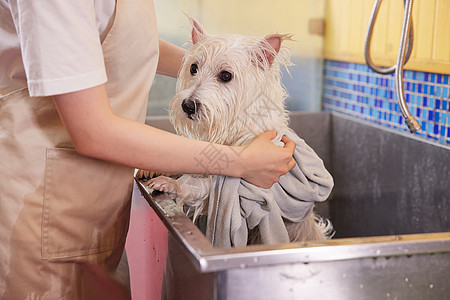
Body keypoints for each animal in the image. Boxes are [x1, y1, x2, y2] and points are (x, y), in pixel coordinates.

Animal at [146, 15, 332, 246]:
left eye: (226, 75)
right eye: (193, 68)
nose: (188, 105)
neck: (232, 130)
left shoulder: (243, 190)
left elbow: (205, 188)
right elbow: (195, 183)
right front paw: (168, 180)